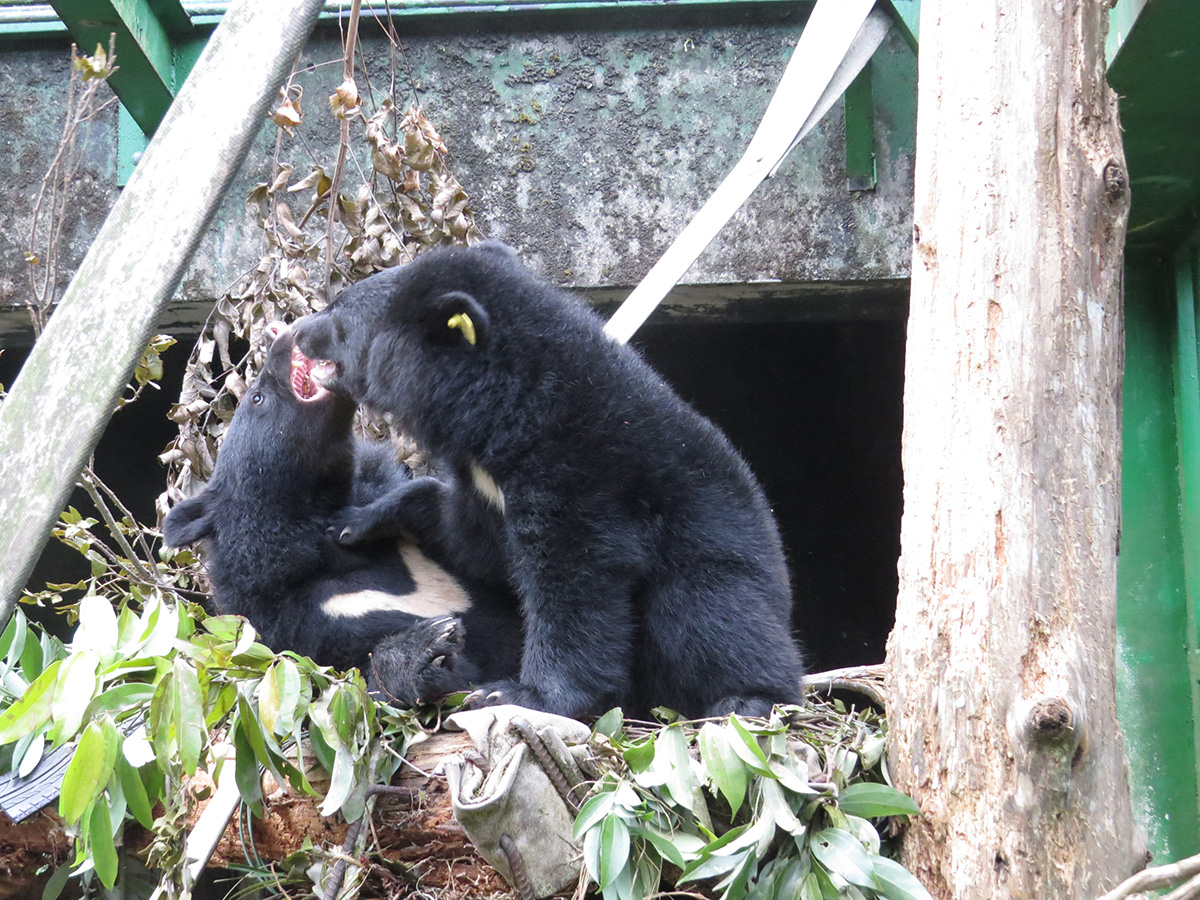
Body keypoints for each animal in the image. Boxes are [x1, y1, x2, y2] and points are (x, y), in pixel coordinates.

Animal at [289, 241, 805, 720]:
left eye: (339, 313)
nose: (295, 331)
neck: (506, 409)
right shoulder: (489, 488)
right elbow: (472, 540)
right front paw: (354, 522)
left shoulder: (580, 474)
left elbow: (575, 584)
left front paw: (513, 693)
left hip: (718, 566)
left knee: (712, 618)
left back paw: (751, 698)